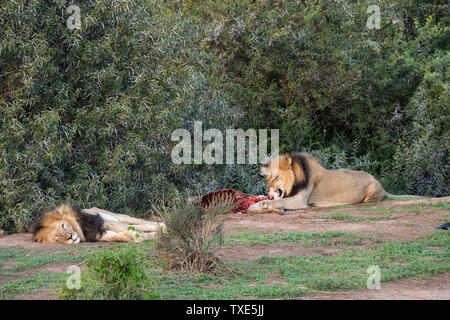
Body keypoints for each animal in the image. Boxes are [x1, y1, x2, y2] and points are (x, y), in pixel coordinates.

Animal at [30, 205, 166, 245]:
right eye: (57, 238)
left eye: (63, 226)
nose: (70, 237)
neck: (81, 230)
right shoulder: (98, 235)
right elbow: (116, 236)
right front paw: (134, 236)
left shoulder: (105, 222)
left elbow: (132, 227)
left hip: (118, 216)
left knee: (143, 222)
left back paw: (164, 226)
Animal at [251, 152, 410, 214]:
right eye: (267, 178)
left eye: (276, 178)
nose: (267, 190)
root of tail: (382, 186)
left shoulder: (300, 200)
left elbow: (279, 201)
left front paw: (265, 203)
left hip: (372, 188)